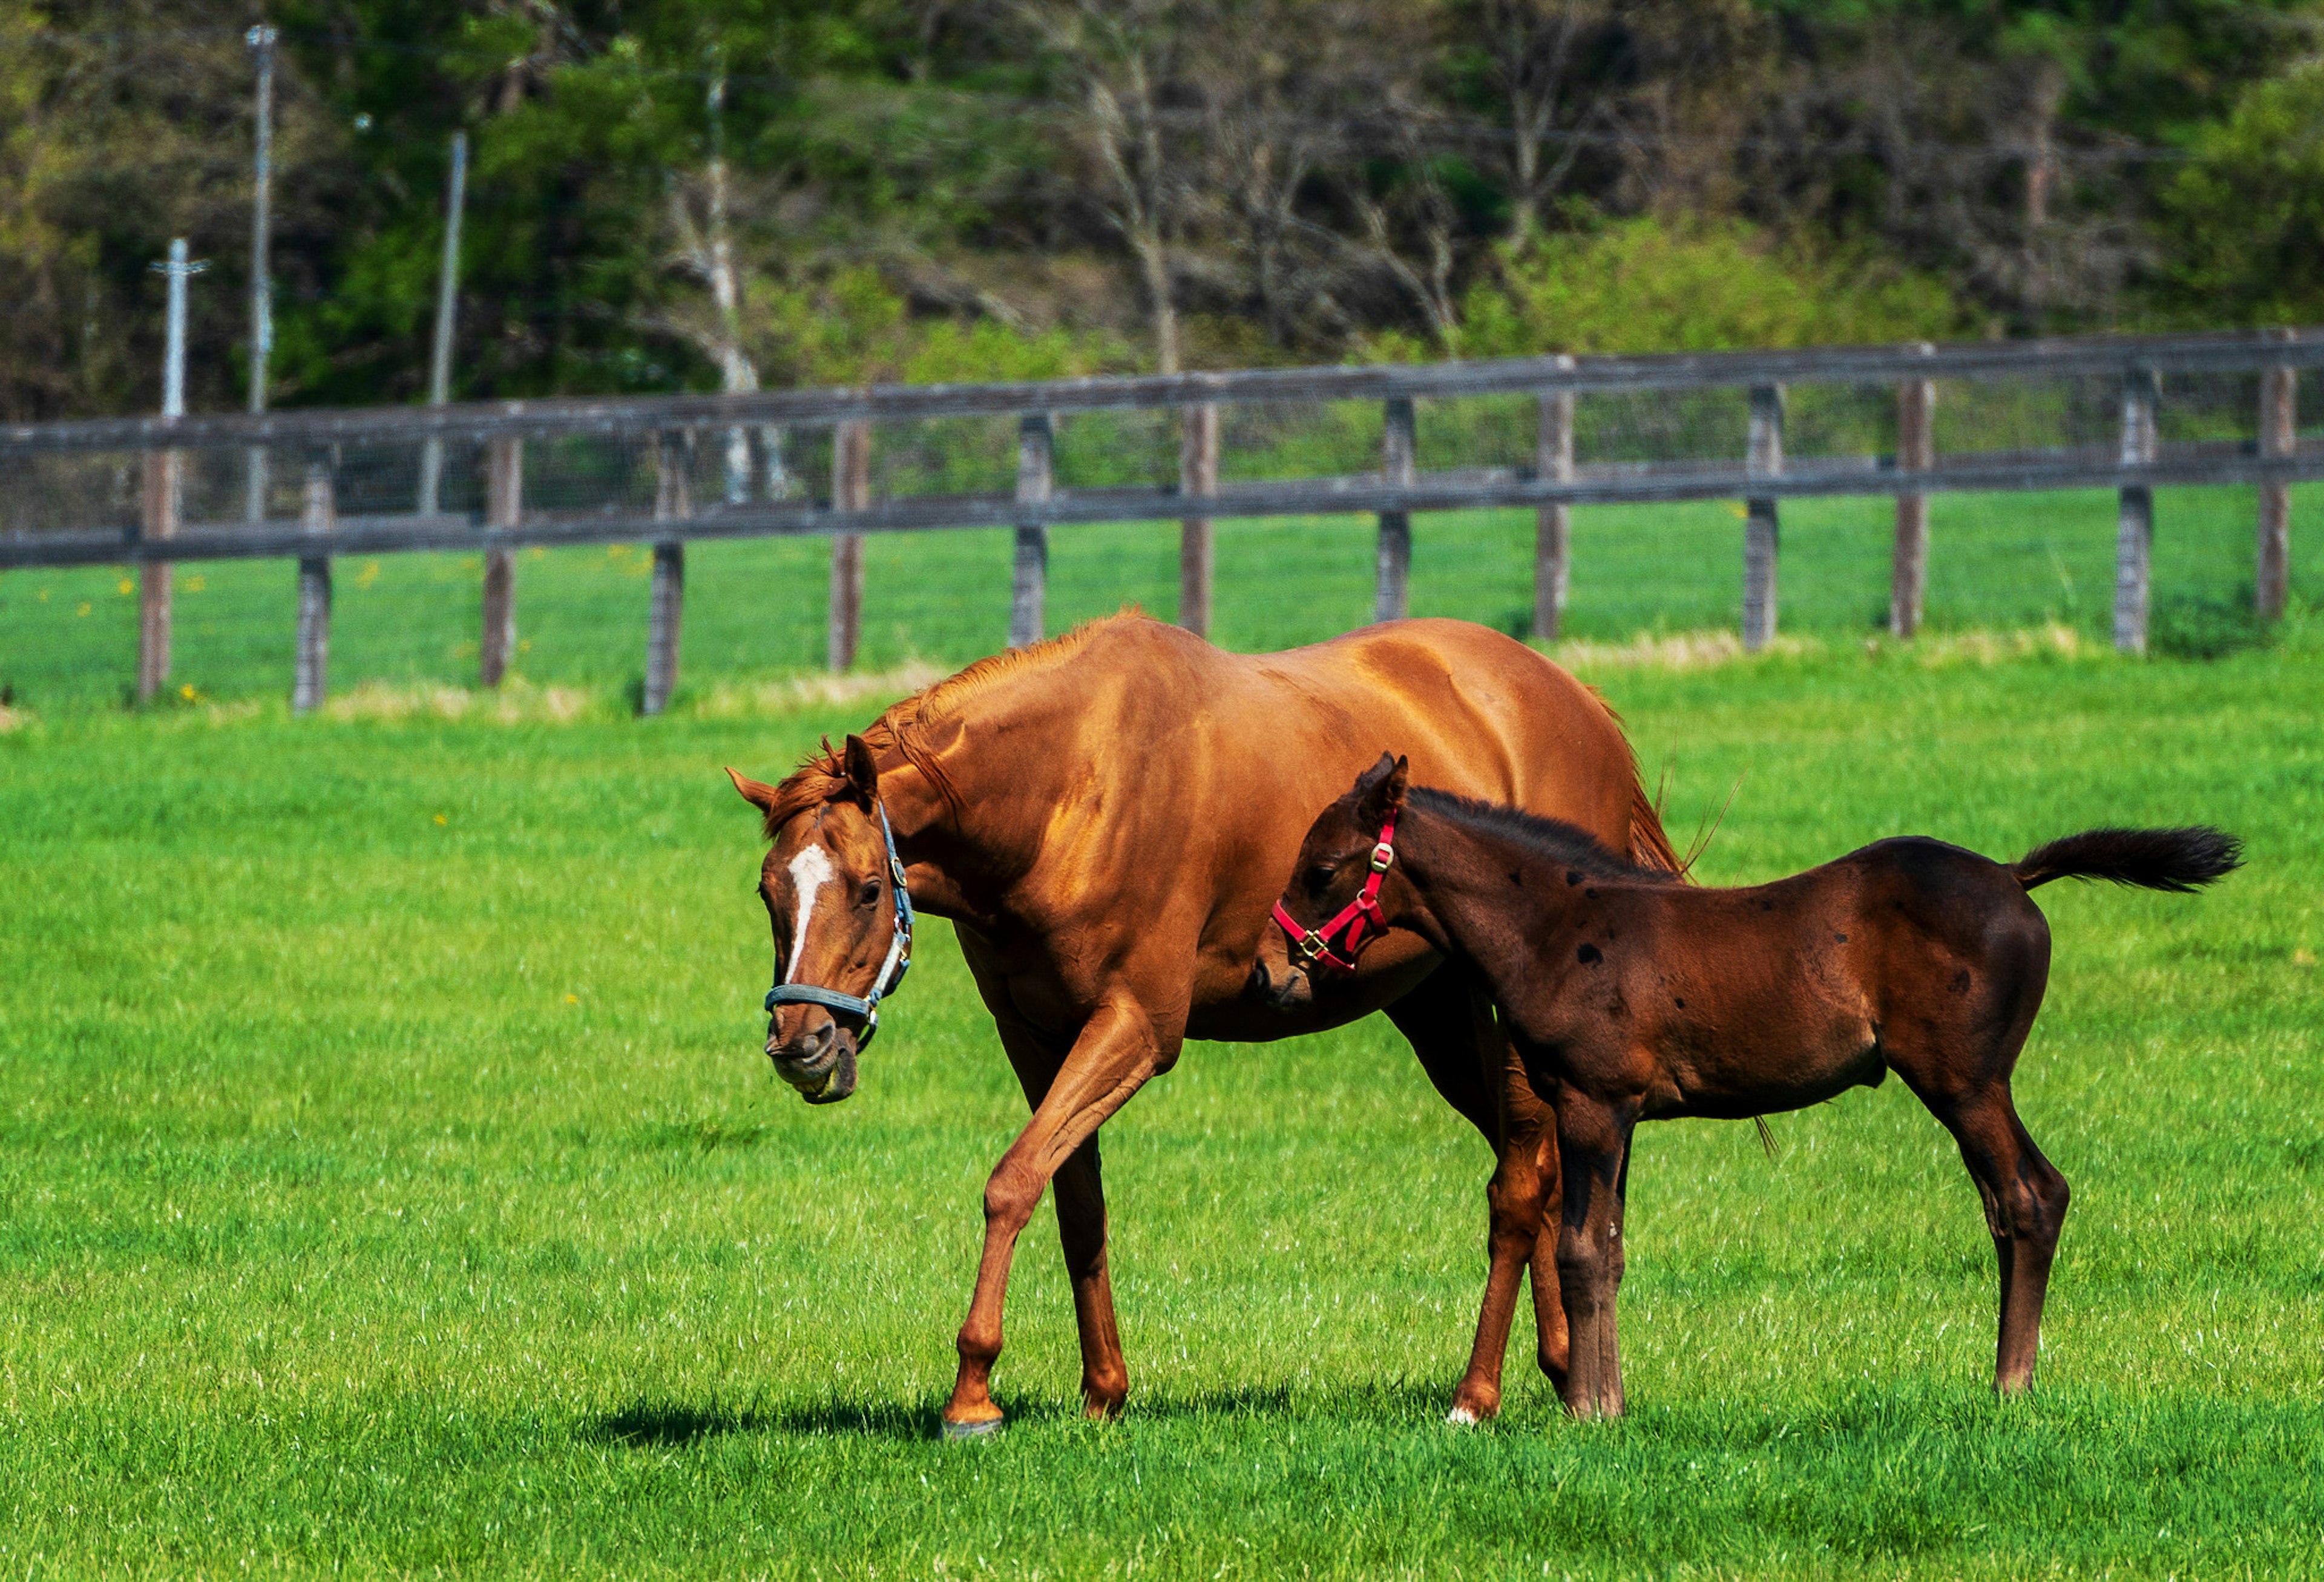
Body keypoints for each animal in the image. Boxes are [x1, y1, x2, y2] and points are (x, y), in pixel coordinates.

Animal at [1264, 757, 2240, 1422]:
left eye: (1323, 869)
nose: (1275, 976)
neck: (1556, 926)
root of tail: (2011, 875)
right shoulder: (1616, 1113)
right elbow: (1608, 1245)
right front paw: (1609, 1401)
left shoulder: (1592, 1101)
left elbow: (1579, 1249)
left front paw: (1587, 1412)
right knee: (2021, 1199)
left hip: (1965, 1082)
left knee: (2031, 1195)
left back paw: (2009, 1385)